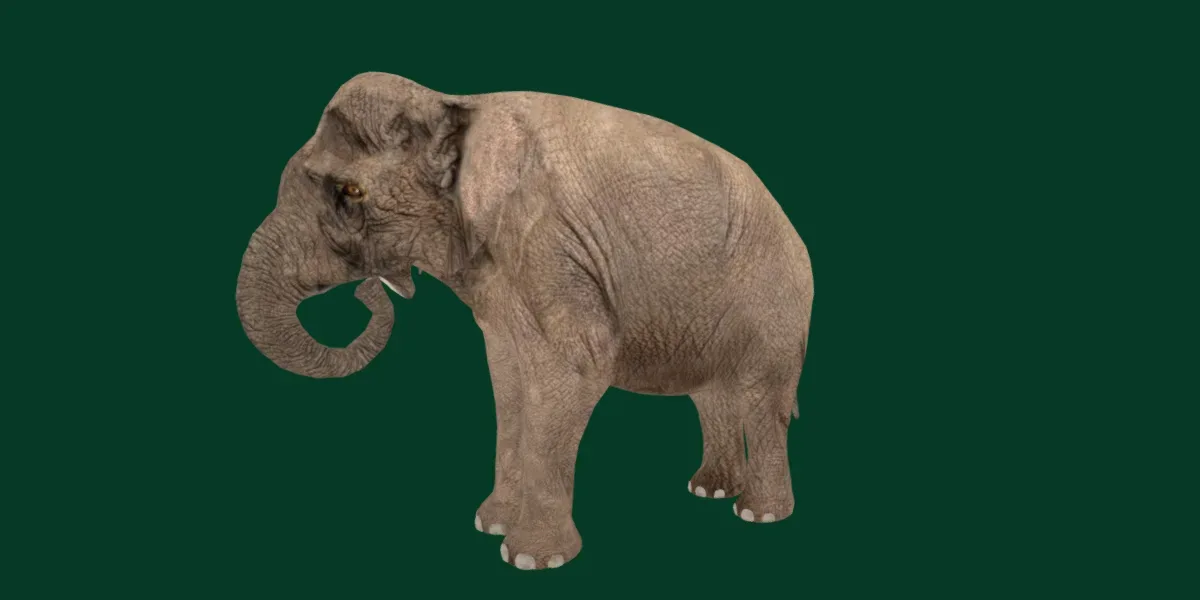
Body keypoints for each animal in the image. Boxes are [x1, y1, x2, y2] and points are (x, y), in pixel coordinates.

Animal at [235, 72, 814, 570]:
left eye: (351, 193)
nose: (369, 291)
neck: (451, 103)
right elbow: (508, 380)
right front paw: (489, 524)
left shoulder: (549, 244)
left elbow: (575, 369)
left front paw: (531, 558)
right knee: (712, 394)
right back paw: (709, 490)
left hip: (775, 299)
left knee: (759, 394)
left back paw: (757, 513)